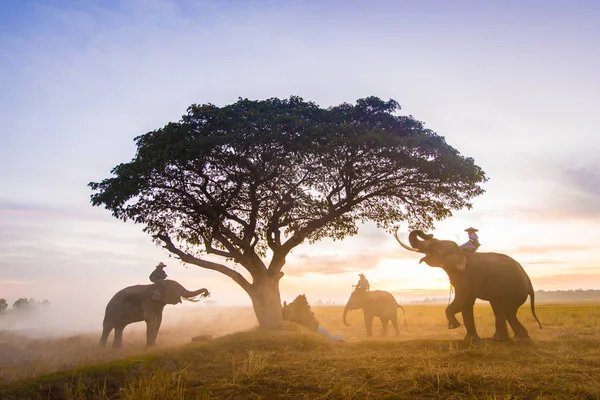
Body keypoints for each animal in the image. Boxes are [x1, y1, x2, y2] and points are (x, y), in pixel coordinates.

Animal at [394, 228, 544, 340]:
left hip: (513, 290)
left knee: (505, 310)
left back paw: (504, 339)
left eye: (434, 245)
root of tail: (529, 283)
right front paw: (470, 339)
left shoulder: (470, 277)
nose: (430, 233)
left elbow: (464, 300)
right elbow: (466, 304)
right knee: (506, 311)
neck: (460, 252)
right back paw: (516, 338)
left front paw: (454, 326)